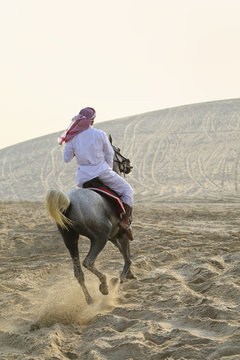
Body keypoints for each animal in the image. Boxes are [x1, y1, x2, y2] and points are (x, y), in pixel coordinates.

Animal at [45, 141, 134, 304]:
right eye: (117, 149)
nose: (128, 163)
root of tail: (69, 202)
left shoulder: (113, 235)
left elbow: (122, 250)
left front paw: (129, 274)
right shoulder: (121, 233)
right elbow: (126, 255)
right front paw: (122, 277)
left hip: (71, 240)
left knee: (78, 272)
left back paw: (90, 299)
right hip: (99, 238)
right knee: (88, 262)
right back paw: (104, 285)